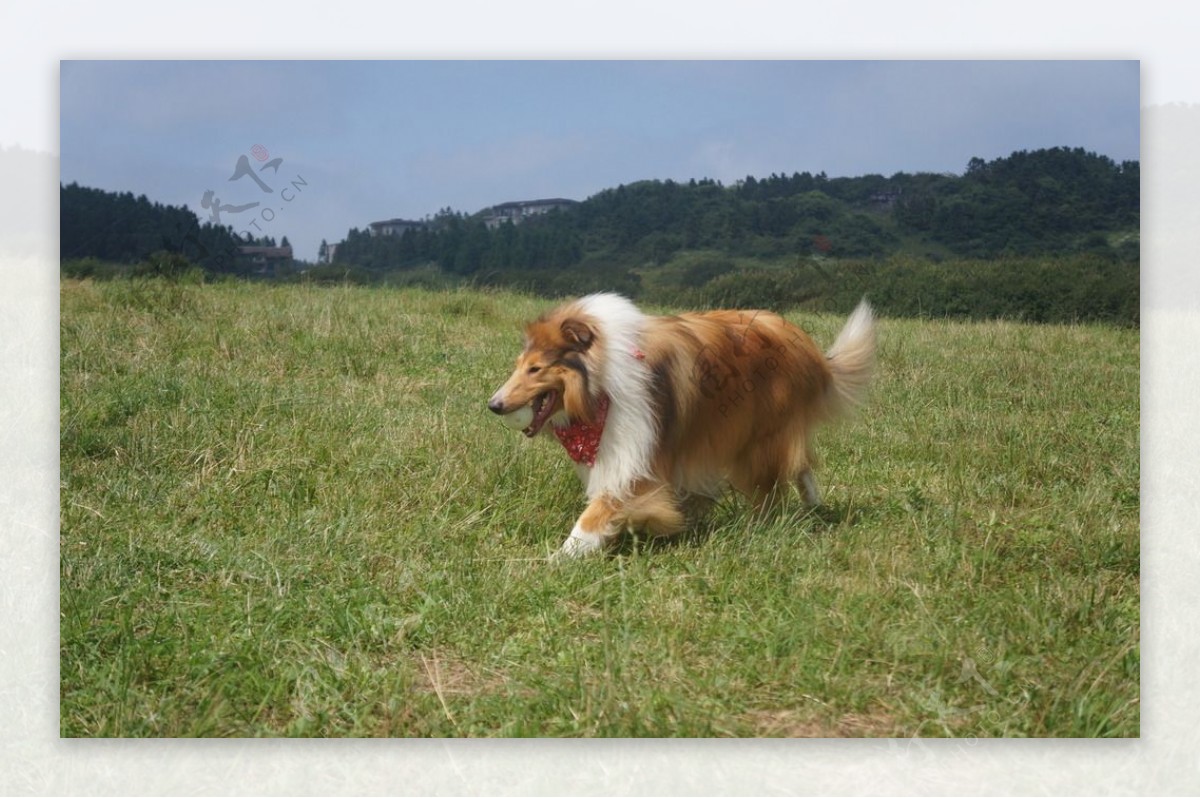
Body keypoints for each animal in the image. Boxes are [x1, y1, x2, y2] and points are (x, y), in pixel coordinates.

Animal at [487, 289, 873, 556]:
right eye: (519, 365)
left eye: (535, 368)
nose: (494, 405)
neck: (602, 384)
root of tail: (807, 346)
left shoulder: (634, 455)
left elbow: (599, 511)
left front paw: (558, 558)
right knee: (800, 463)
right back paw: (812, 505)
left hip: (763, 434)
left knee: (776, 477)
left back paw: (759, 525)